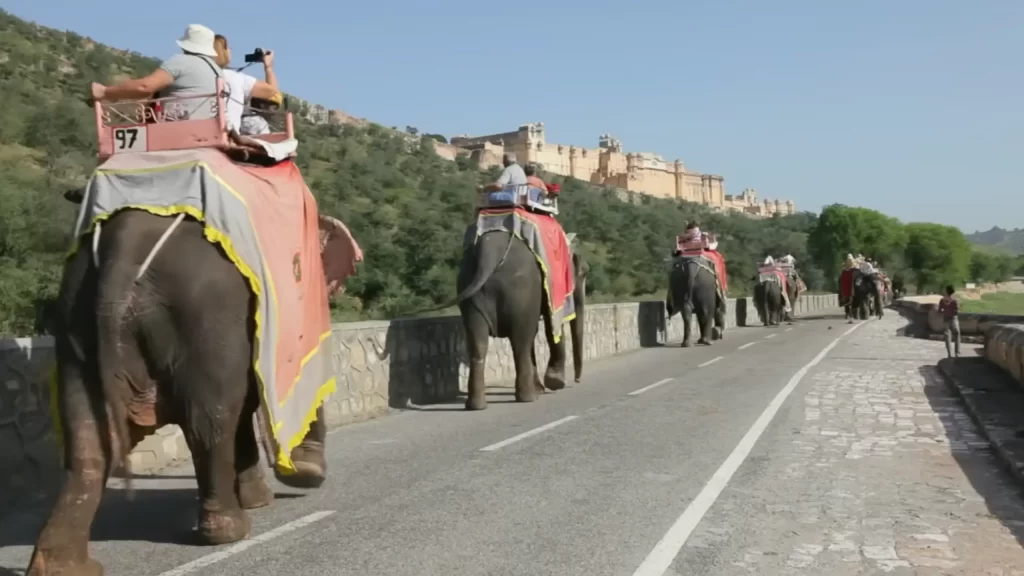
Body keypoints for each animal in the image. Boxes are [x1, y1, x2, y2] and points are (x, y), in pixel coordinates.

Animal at [25, 207, 327, 573]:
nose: (305, 471)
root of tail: (122, 252)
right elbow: (242, 404)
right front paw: (262, 500)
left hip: (75, 325)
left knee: (89, 438)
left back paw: (65, 567)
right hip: (206, 319)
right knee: (210, 422)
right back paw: (230, 532)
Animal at [454, 226, 589, 409]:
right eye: (583, 272)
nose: (577, 381)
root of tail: (488, 253)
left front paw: (547, 385)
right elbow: (551, 326)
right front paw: (556, 383)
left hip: (470, 295)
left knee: (478, 344)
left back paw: (476, 406)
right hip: (521, 291)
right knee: (521, 342)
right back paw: (529, 397)